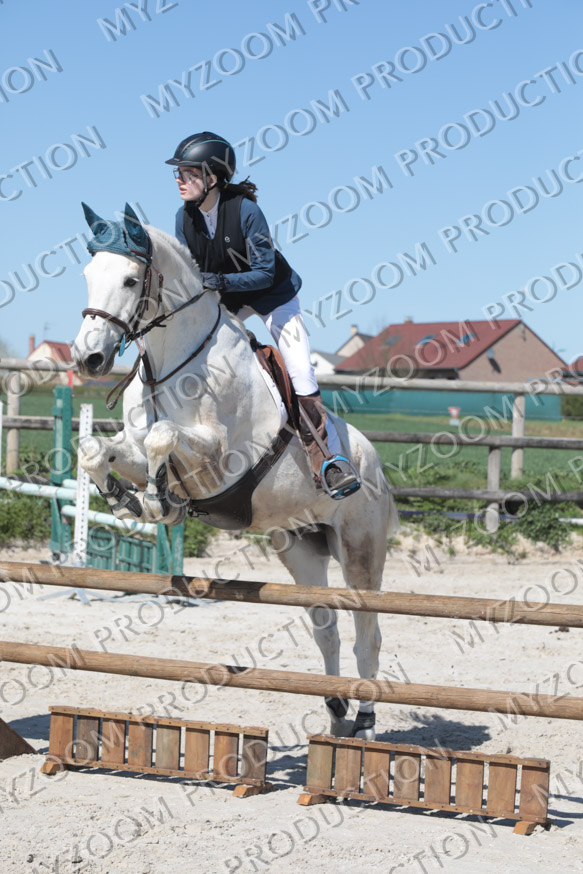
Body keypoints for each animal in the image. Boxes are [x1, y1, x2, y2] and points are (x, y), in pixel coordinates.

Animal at [72, 203, 399, 740]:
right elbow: (96, 449)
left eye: (129, 279)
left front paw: (160, 502)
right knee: (327, 630)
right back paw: (335, 717)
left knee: (366, 636)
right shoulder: (134, 450)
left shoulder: (219, 463)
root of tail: (375, 465)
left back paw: (366, 727)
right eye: (86, 276)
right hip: (301, 550)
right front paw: (129, 499)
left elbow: (165, 435)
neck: (171, 363)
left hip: (360, 551)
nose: (88, 358)